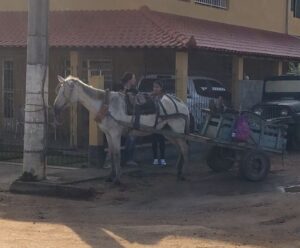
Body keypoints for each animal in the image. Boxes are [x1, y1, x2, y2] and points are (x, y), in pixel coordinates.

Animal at [53, 75, 190, 184]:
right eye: (58, 90)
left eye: (64, 91)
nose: (55, 108)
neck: (106, 105)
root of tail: (182, 103)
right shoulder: (108, 134)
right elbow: (111, 153)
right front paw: (110, 176)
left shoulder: (115, 133)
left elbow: (117, 154)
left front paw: (117, 179)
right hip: (169, 133)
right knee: (180, 149)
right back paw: (178, 171)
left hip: (177, 131)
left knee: (184, 149)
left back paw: (183, 173)